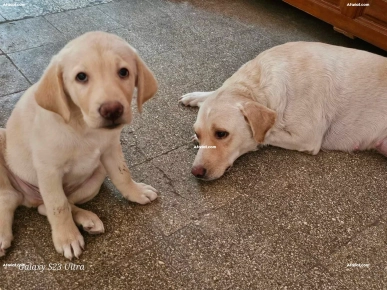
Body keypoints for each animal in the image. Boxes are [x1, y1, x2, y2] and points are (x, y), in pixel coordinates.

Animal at [0, 30, 158, 260]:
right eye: (81, 77)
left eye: (124, 72)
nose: (112, 110)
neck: (83, 126)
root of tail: (30, 199)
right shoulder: (48, 169)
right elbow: (58, 206)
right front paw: (67, 238)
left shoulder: (111, 149)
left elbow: (123, 174)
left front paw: (136, 192)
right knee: (10, 198)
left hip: (97, 174)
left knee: (51, 206)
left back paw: (88, 220)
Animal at [180, 42, 387, 180]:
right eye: (199, 133)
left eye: (221, 134)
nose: (196, 172)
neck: (257, 85)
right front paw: (196, 97)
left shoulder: (307, 137)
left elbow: (264, 135)